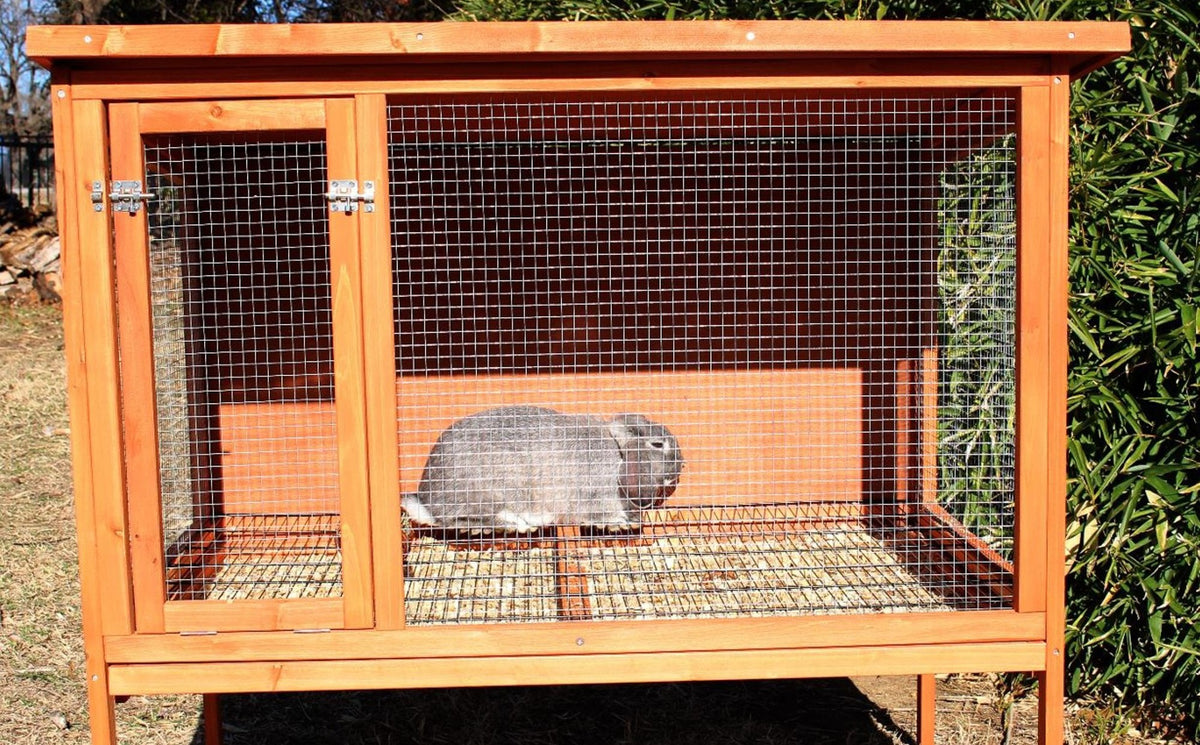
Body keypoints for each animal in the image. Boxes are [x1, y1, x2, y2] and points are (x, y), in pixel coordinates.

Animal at [401, 405, 683, 534]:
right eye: (658, 444)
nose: (678, 469)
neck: (618, 454)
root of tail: (427, 502)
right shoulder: (596, 495)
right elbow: (599, 514)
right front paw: (621, 523)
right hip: (493, 490)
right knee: (459, 519)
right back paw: (517, 524)